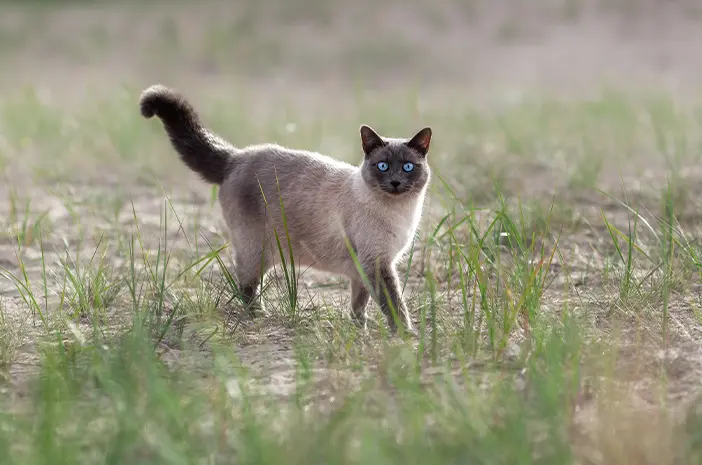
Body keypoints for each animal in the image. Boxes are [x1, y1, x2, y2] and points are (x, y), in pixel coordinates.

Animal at [140, 84, 432, 334]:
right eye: (383, 166)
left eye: (408, 167)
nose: (395, 182)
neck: (400, 212)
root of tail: (236, 157)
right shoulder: (377, 263)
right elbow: (393, 303)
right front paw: (406, 333)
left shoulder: (366, 268)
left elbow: (359, 303)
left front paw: (360, 326)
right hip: (256, 250)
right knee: (245, 285)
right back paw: (259, 315)